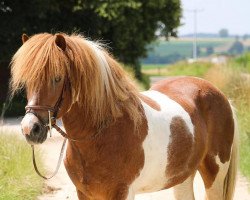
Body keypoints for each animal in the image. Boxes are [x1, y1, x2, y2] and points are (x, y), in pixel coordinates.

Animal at [10, 33, 238, 200]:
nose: (30, 129)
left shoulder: (121, 192)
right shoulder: (84, 193)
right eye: (27, 81)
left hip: (215, 174)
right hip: (183, 177)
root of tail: (221, 95)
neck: (105, 132)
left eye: (57, 78)